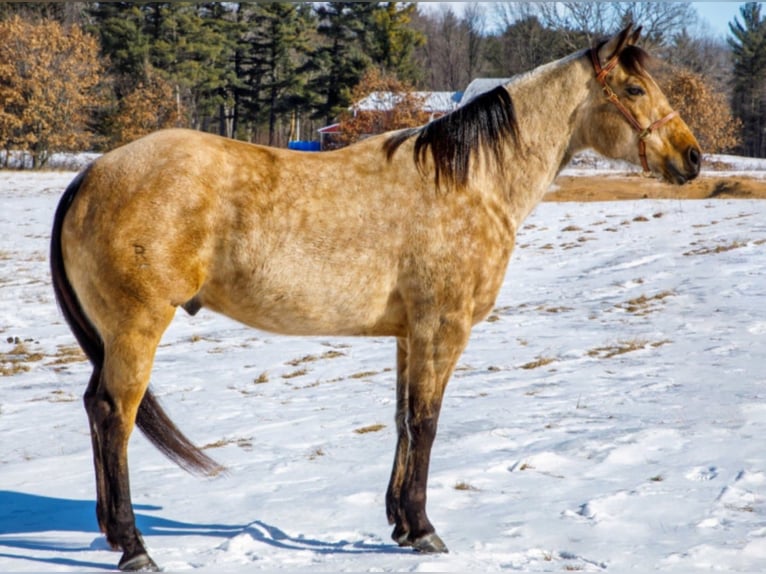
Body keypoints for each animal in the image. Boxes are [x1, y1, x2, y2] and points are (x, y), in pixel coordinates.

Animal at [51, 25, 704, 572]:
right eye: (634, 88)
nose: (692, 157)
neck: (470, 183)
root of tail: (91, 175)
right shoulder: (443, 328)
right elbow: (426, 423)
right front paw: (424, 529)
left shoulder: (409, 334)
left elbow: (401, 421)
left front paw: (400, 526)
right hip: (137, 328)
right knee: (114, 415)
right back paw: (134, 547)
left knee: (95, 409)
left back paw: (113, 534)